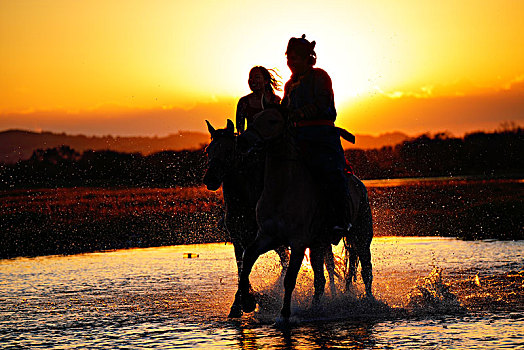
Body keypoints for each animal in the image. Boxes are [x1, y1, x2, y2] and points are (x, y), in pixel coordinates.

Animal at [203, 119, 338, 318]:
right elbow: (241, 269)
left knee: (327, 266)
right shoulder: (239, 241)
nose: (210, 179)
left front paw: (252, 301)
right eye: (208, 150)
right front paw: (242, 303)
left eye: (229, 150)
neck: (244, 203)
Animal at [233, 107, 372, 320]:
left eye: (273, 121)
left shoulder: (298, 243)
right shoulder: (267, 237)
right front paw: (247, 302)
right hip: (318, 246)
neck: (282, 191)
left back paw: (370, 303)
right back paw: (315, 308)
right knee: (321, 280)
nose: (243, 141)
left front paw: (284, 314)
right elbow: (247, 261)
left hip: (362, 238)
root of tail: (358, 184)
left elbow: (290, 279)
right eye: (254, 118)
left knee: (366, 272)